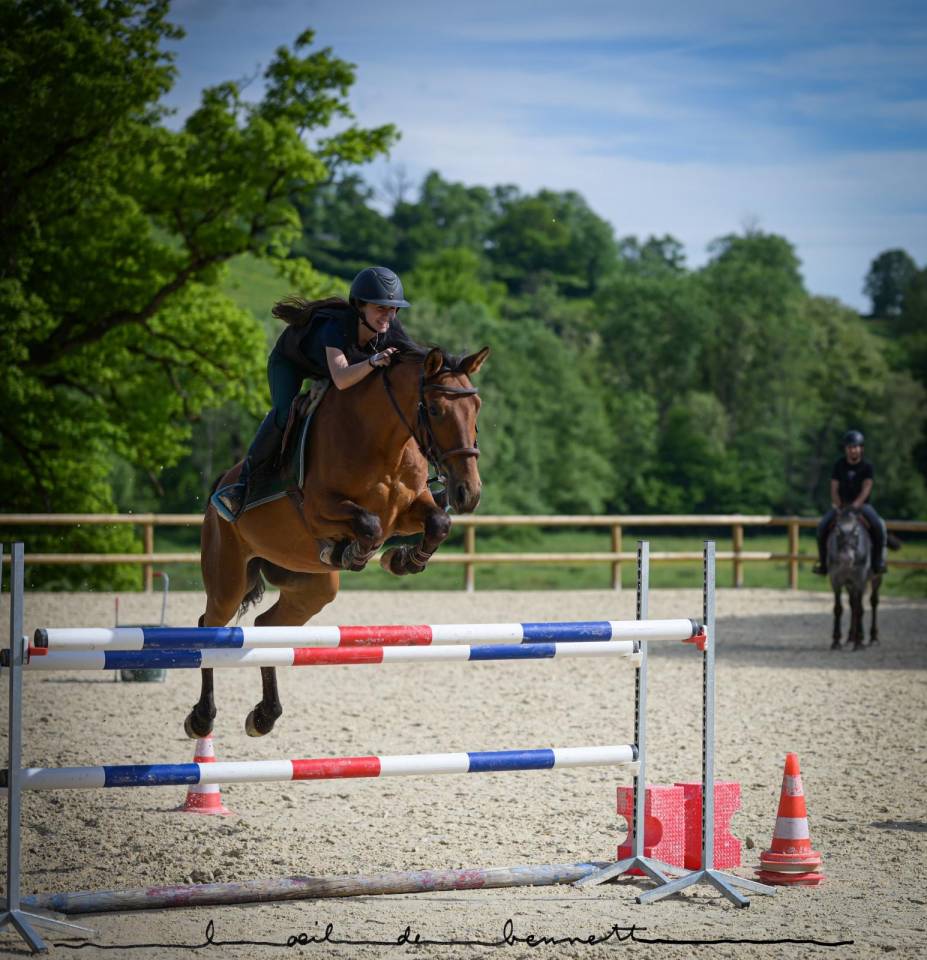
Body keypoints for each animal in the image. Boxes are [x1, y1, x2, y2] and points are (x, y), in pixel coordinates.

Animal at [189, 343, 489, 738]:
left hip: (313, 588)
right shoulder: (319, 508)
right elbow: (369, 525)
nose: (468, 492)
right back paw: (202, 717)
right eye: (437, 409)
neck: (383, 441)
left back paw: (265, 715)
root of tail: (219, 488)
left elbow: (439, 522)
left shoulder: (407, 510)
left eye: (477, 407)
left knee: (266, 628)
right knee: (207, 626)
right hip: (228, 579)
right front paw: (353, 553)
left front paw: (400, 560)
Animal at [827, 507, 881, 650]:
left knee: (873, 602)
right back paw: (851, 637)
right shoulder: (836, 581)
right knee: (853, 604)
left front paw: (859, 643)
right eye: (837, 531)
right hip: (850, 585)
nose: (846, 558)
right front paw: (836, 641)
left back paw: (873, 638)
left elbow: (860, 610)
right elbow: (838, 608)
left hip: (876, 579)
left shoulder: (860, 580)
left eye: (856, 531)